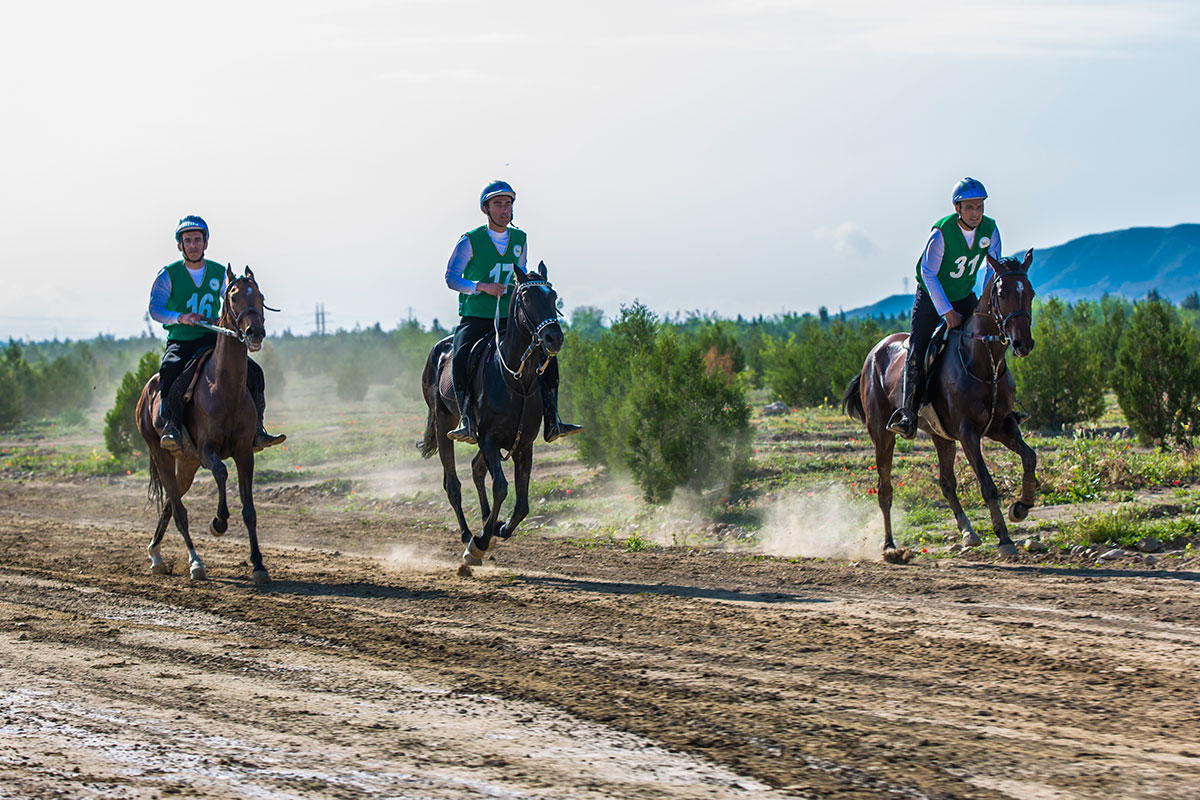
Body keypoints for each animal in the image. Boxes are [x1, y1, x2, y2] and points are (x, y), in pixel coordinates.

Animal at [135, 266, 272, 585]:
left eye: (260, 296)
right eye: (233, 296)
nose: (254, 333)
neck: (225, 388)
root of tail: (146, 392)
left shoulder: (244, 453)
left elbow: (249, 510)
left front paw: (258, 565)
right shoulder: (207, 450)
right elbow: (221, 472)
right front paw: (218, 522)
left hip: (187, 462)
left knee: (171, 503)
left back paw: (156, 553)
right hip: (162, 454)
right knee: (179, 509)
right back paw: (194, 562)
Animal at [420, 260, 564, 566]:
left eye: (553, 297)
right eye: (526, 298)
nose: (553, 337)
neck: (516, 380)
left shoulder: (524, 445)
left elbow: (522, 504)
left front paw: (499, 528)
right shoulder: (487, 438)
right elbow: (501, 486)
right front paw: (480, 542)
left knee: (476, 469)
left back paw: (489, 522)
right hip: (443, 423)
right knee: (453, 484)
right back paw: (468, 536)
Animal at [844, 253, 1041, 561]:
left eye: (1029, 292)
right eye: (1002, 293)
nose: (1023, 344)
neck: (982, 360)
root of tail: (873, 354)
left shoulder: (1002, 426)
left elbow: (1030, 457)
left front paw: (1021, 507)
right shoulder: (969, 434)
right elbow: (988, 485)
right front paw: (1004, 538)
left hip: (942, 437)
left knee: (946, 483)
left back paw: (968, 532)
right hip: (882, 434)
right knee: (885, 489)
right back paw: (889, 546)